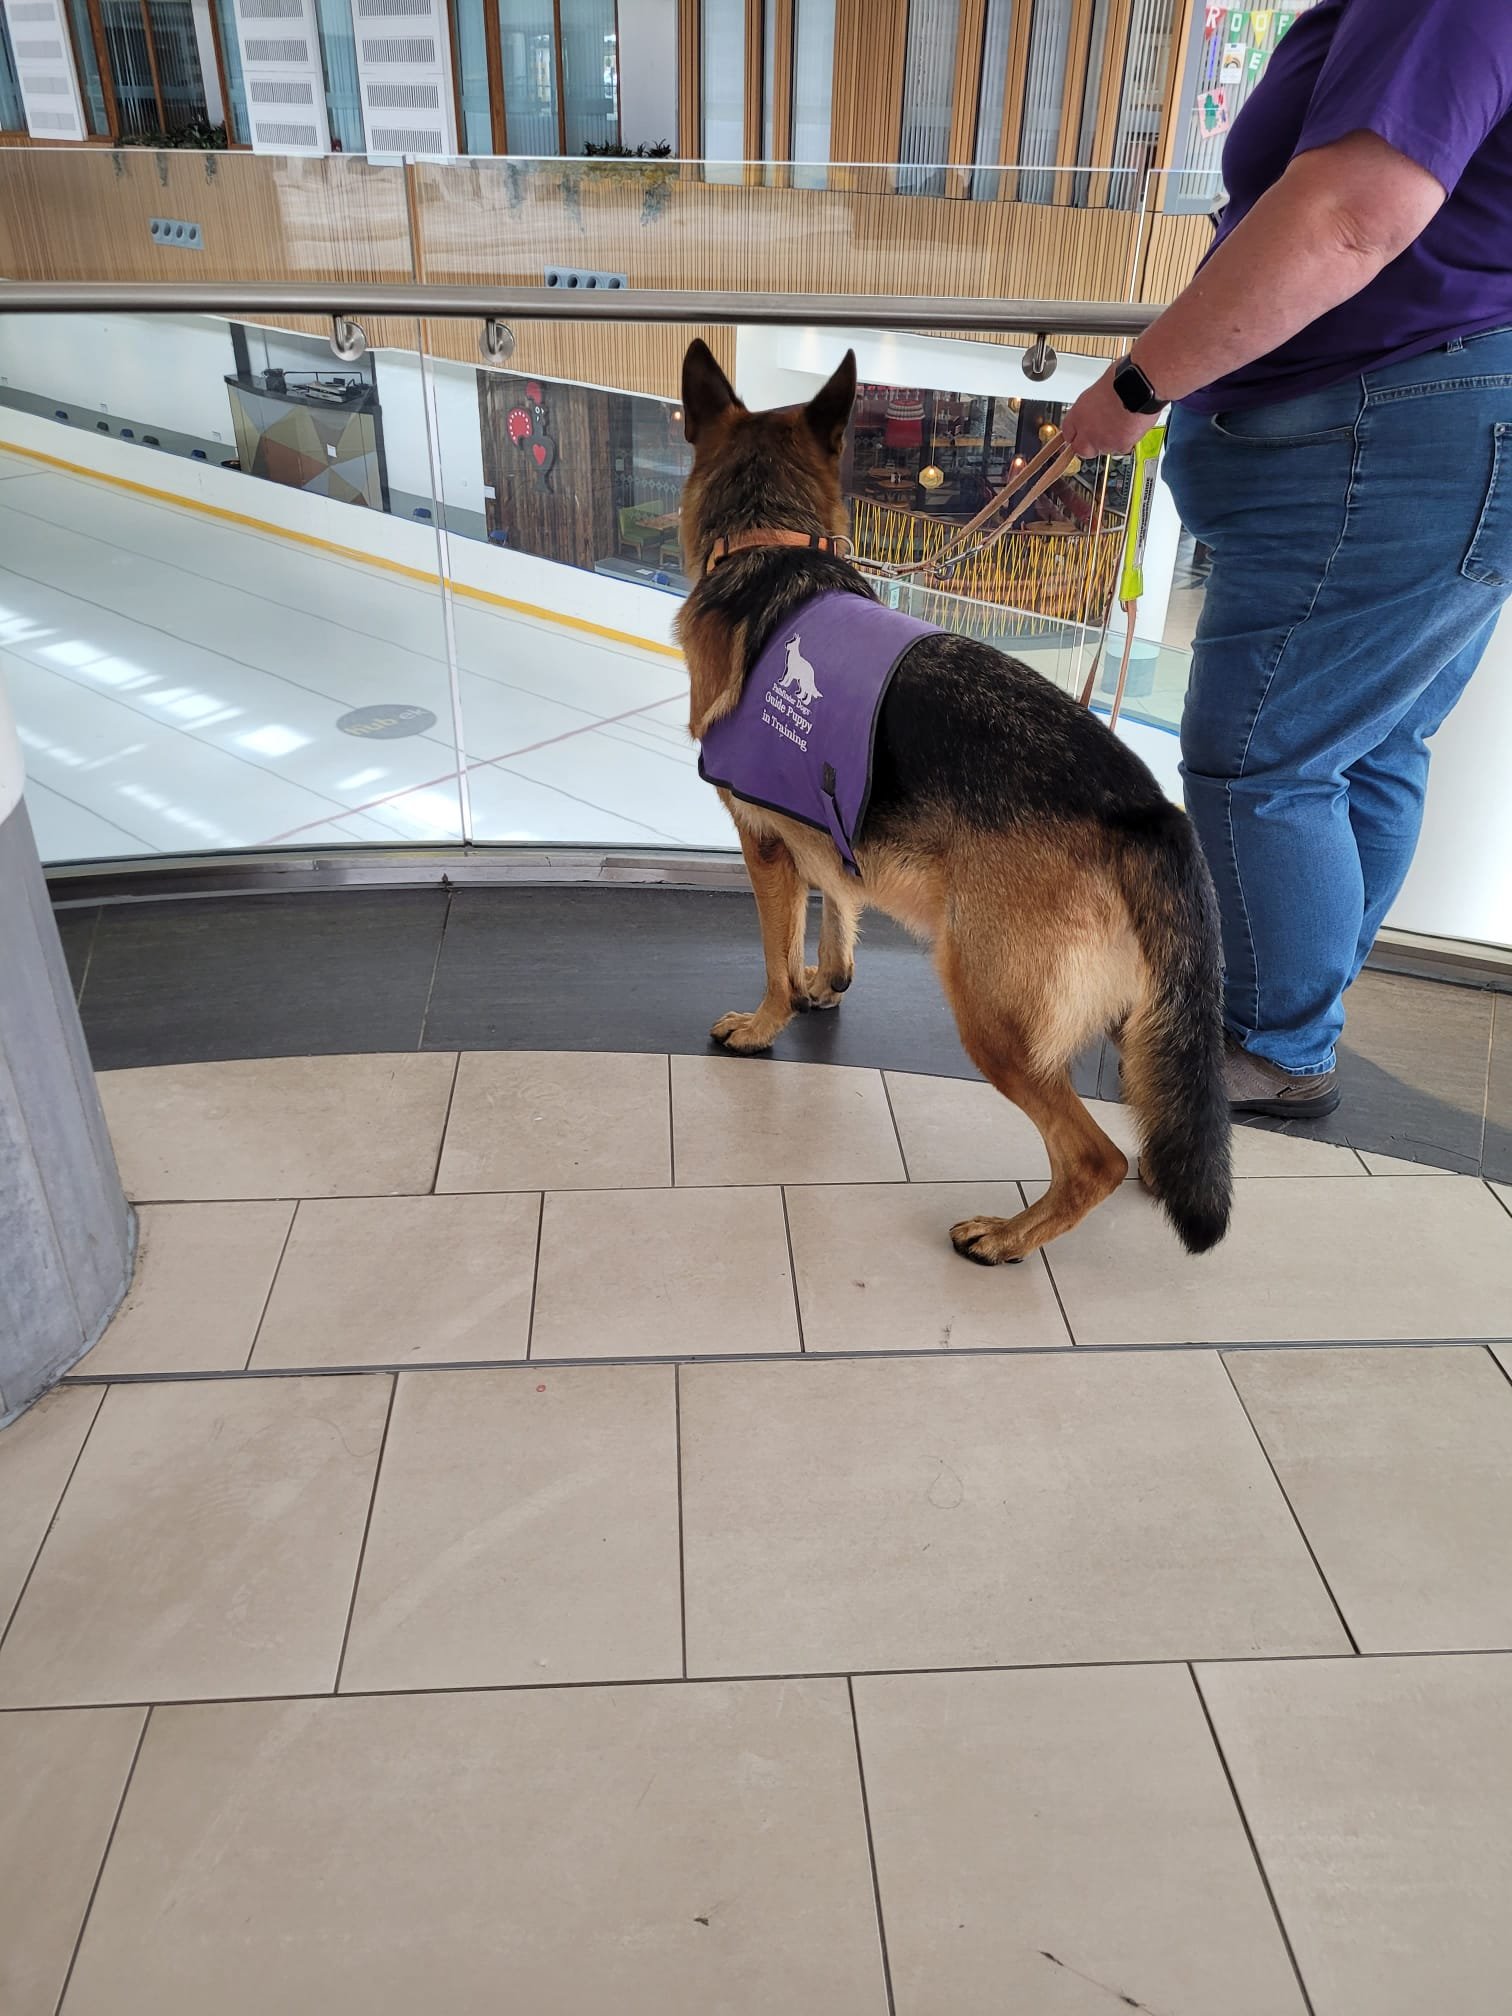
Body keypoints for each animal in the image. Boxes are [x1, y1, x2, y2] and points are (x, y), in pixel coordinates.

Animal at [673, 344, 1233, 1257]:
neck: (772, 537)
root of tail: (1149, 812)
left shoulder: (766, 847)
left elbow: (775, 958)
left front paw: (765, 1024)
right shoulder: (827, 828)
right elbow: (838, 913)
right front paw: (828, 981)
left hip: (990, 1015)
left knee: (1095, 1159)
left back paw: (1007, 1237)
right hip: (1134, 1030)